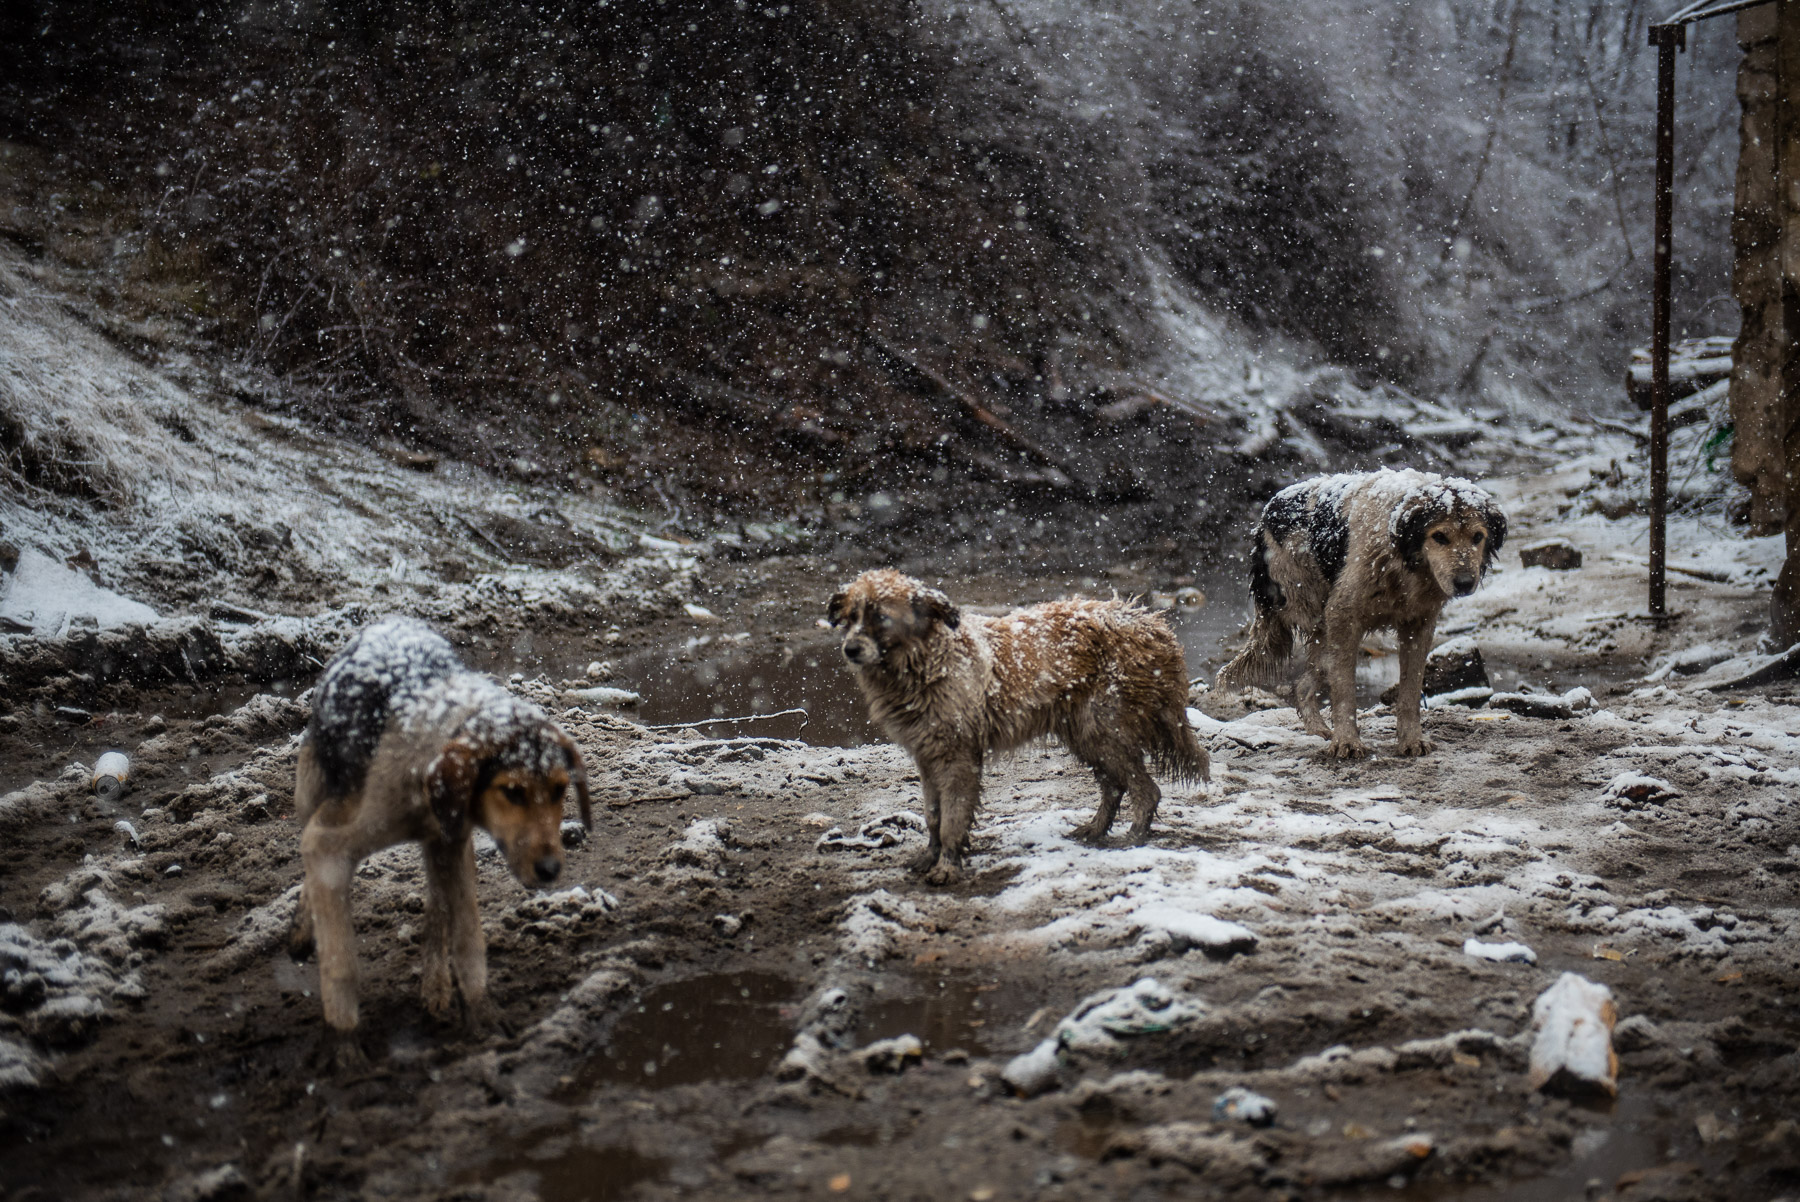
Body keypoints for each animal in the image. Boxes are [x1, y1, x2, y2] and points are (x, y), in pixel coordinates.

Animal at [284, 615, 586, 1058]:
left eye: (561, 790)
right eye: (512, 792)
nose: (550, 869)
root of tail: (390, 620)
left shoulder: (451, 843)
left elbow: (467, 935)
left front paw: (479, 1012)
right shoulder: (329, 843)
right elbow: (341, 961)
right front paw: (344, 1044)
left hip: (448, 845)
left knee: (439, 906)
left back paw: (436, 986)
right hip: (310, 793)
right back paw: (303, 931)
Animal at [828, 572, 1209, 881]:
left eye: (881, 617)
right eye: (851, 617)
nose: (849, 649)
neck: (926, 663)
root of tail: (1150, 622)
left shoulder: (958, 758)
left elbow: (952, 818)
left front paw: (948, 867)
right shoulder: (926, 756)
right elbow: (933, 815)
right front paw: (929, 857)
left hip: (1104, 730)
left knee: (1146, 790)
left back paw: (1133, 837)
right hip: (1086, 736)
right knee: (1114, 786)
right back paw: (1095, 829)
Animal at [1224, 467, 1504, 759]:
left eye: (1477, 537)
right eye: (1439, 536)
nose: (1465, 583)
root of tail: (1269, 509)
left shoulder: (1419, 624)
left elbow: (1410, 691)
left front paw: (1411, 740)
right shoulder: (1344, 617)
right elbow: (1345, 690)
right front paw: (1347, 742)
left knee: (1301, 685)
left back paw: (1319, 730)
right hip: (1313, 611)